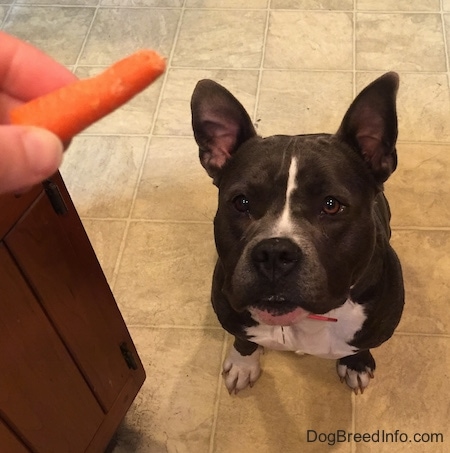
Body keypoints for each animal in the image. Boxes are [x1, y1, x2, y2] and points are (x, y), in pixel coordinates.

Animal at [190, 72, 404, 394]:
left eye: (331, 205)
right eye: (241, 202)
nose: (274, 252)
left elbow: (360, 345)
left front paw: (356, 363)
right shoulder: (230, 310)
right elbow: (243, 339)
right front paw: (244, 364)